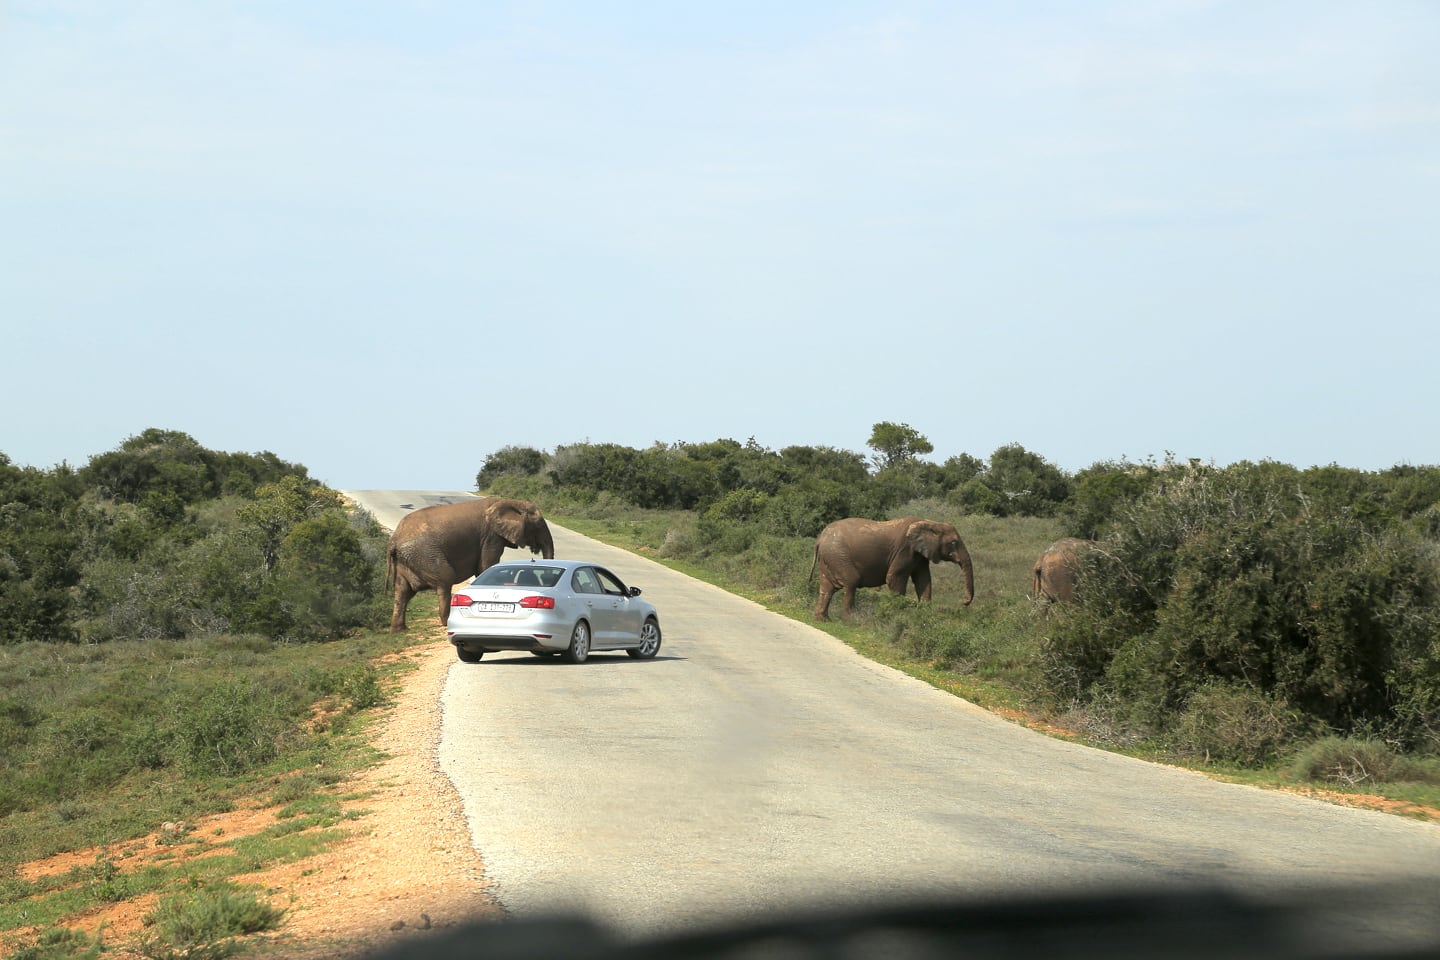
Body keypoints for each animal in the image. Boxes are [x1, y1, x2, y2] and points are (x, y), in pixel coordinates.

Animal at [385, 500, 552, 633]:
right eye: (538, 525)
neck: (510, 502)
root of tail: (394, 540)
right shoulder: (491, 537)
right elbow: (486, 566)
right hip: (424, 554)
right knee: (445, 579)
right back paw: (447, 622)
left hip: (405, 560)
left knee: (403, 591)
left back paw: (399, 630)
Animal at [812, 518, 979, 624]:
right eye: (953, 543)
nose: (964, 601)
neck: (930, 523)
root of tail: (820, 538)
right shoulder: (905, 549)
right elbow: (893, 578)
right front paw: (899, 615)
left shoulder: (919, 555)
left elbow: (923, 580)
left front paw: (923, 615)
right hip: (838, 556)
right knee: (852, 582)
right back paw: (852, 620)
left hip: (830, 558)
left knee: (827, 588)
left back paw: (823, 620)